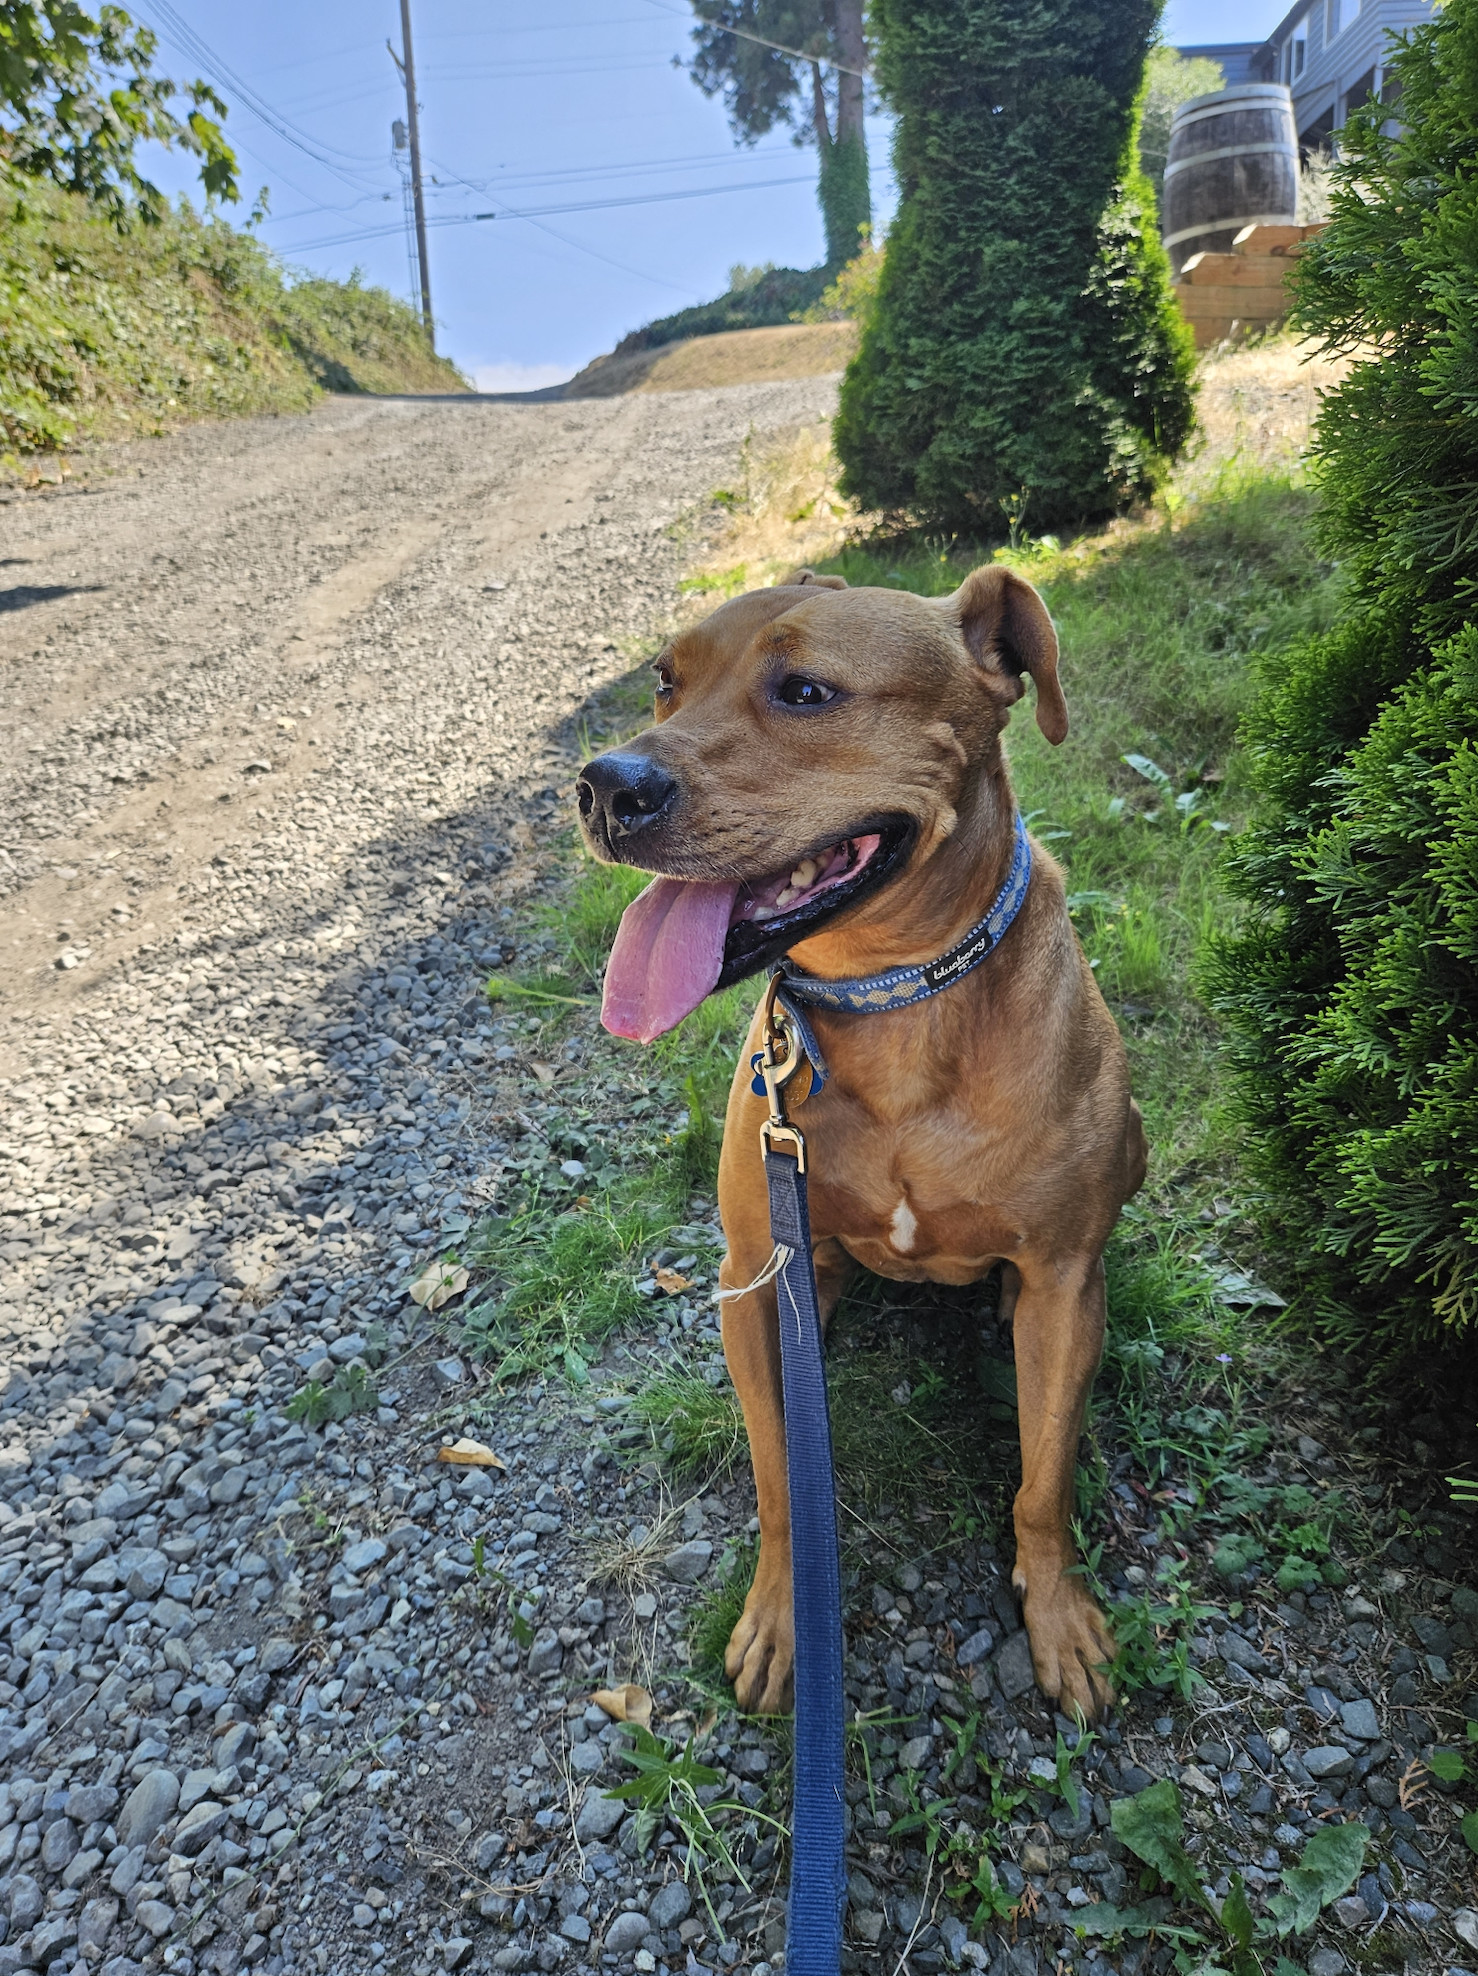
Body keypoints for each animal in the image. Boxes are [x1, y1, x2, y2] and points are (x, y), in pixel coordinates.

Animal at [573, 565, 1146, 1723]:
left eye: (805, 691)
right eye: (665, 683)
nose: (605, 786)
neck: (892, 1005)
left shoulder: (1068, 1280)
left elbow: (1045, 1475)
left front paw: (1059, 1614)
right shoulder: (750, 1277)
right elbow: (778, 1480)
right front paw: (782, 1615)